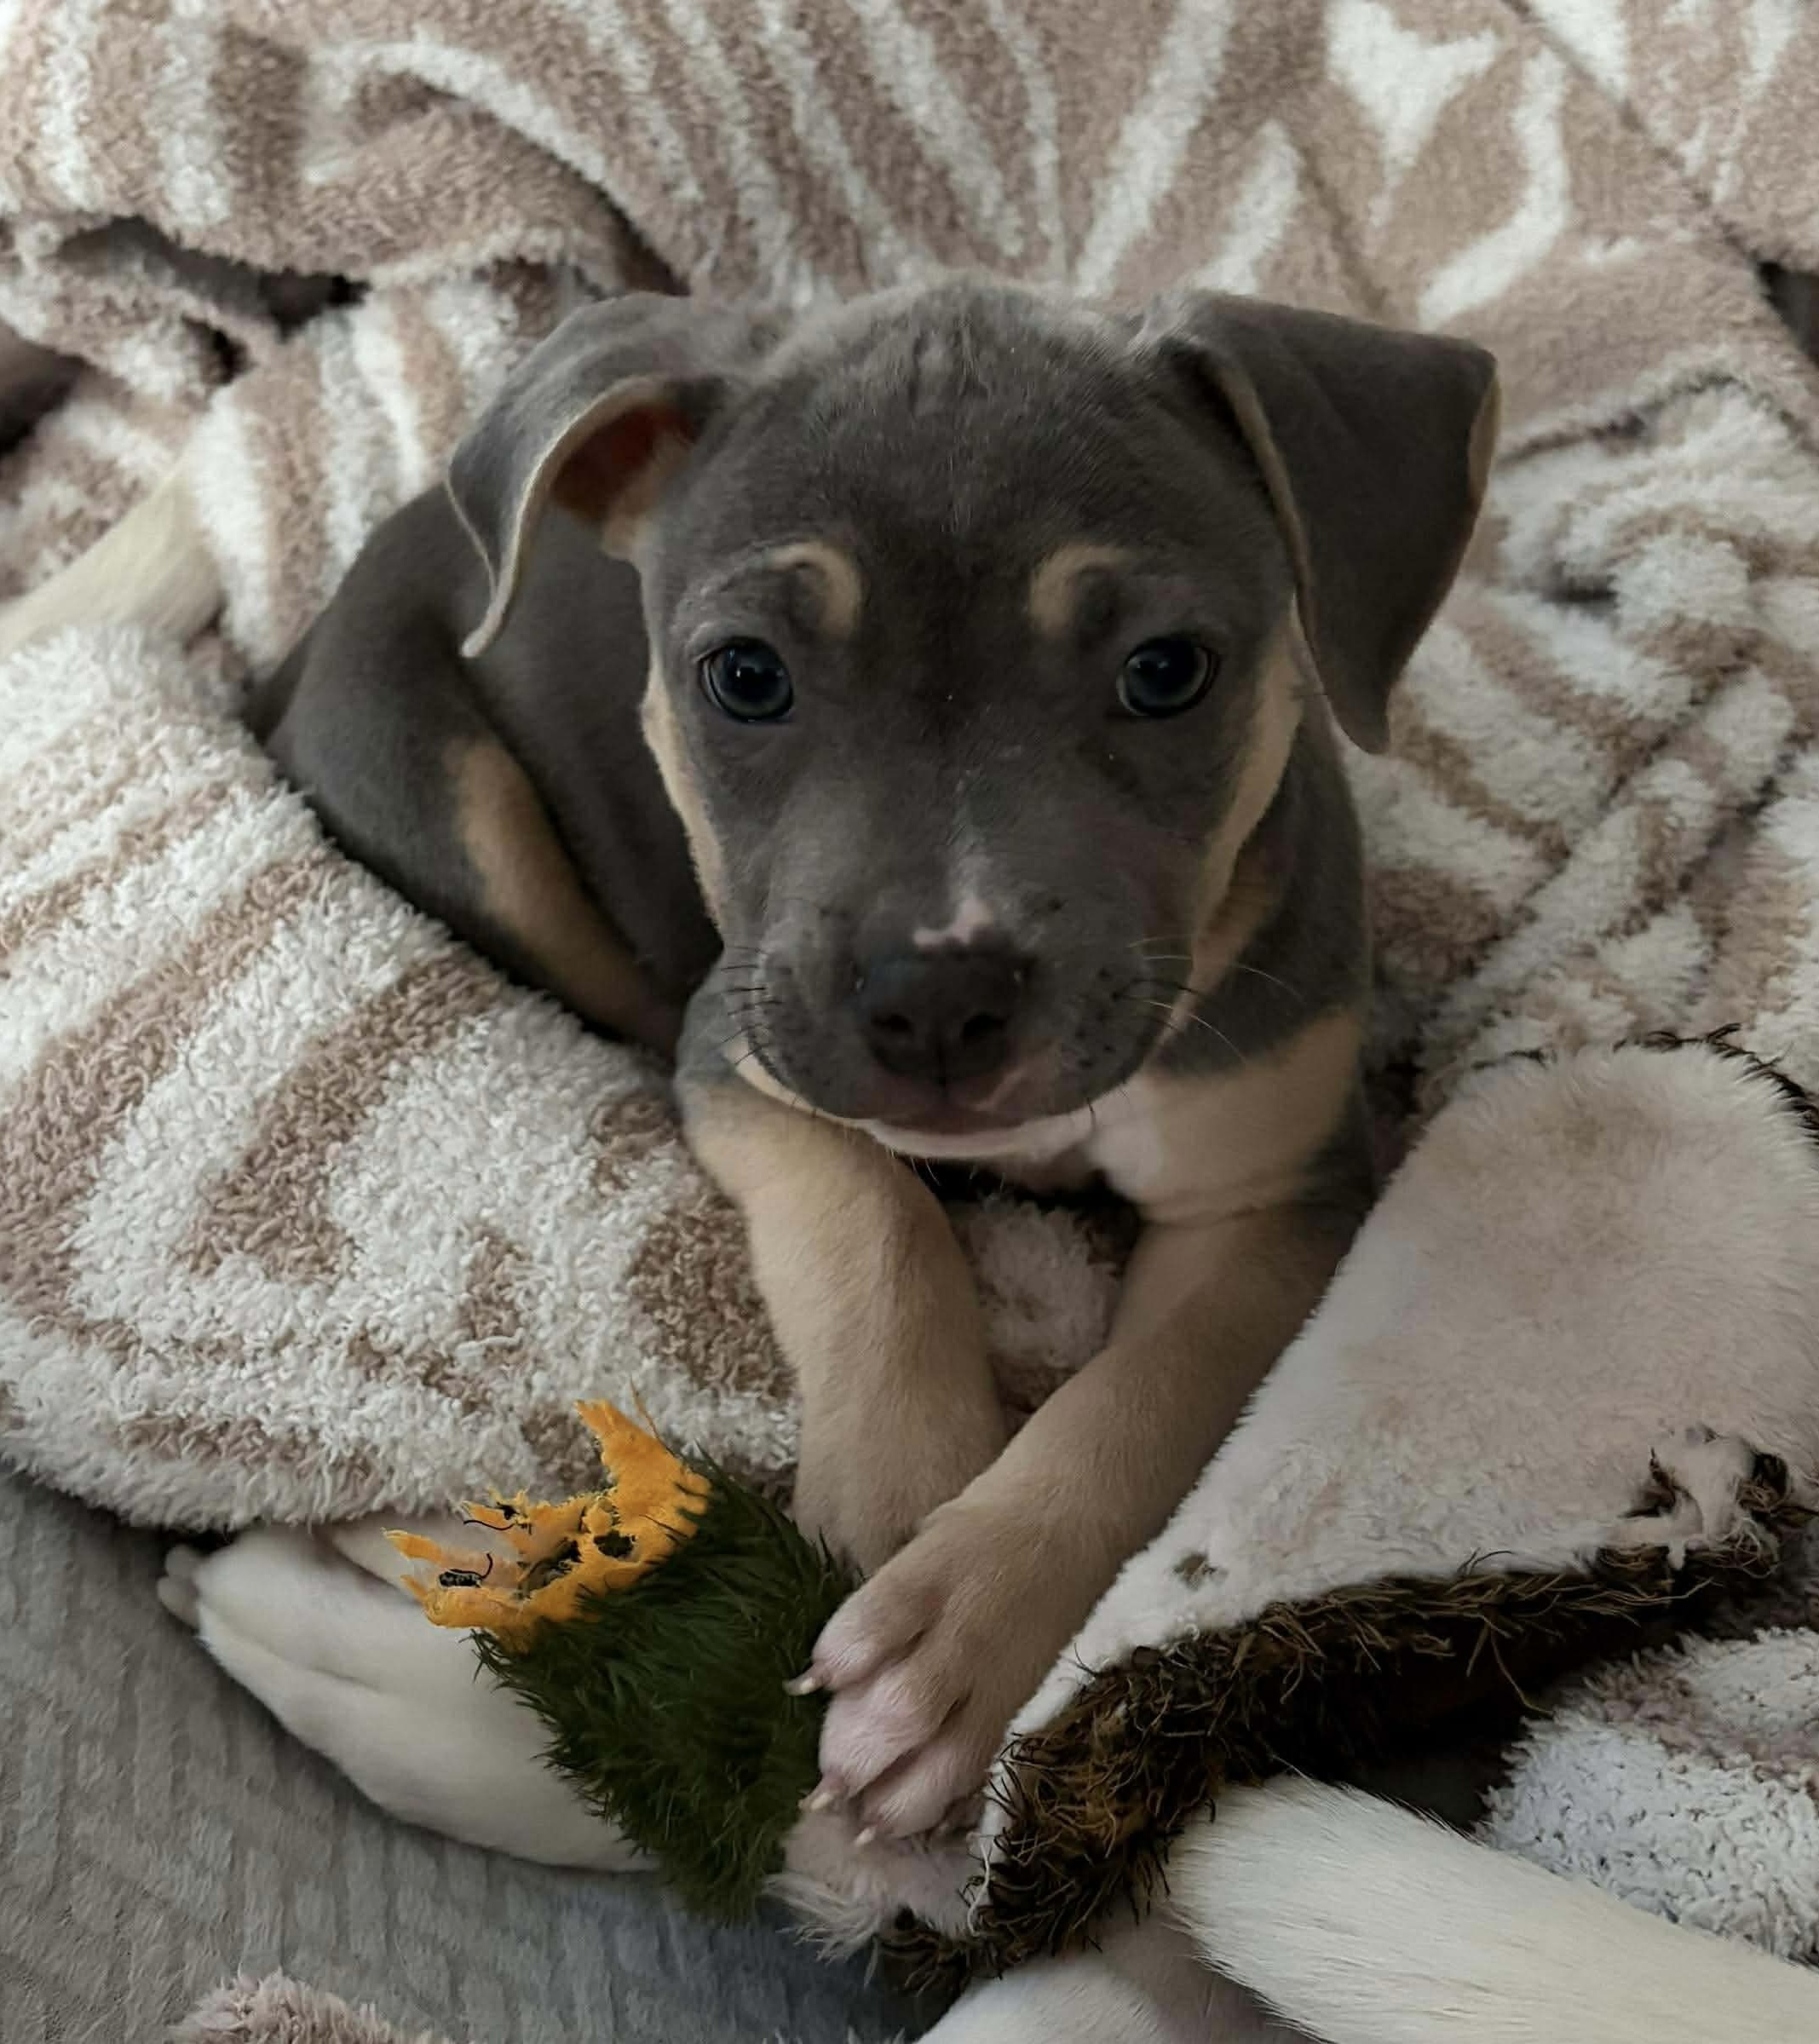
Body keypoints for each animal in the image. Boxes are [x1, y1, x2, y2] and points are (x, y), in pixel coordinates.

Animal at [196, 277, 1497, 1842]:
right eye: (744, 676)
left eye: (1167, 671)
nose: (933, 998)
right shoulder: (748, 1048)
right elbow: (872, 1219)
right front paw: (897, 1498)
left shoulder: (1271, 1195)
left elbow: (1141, 1395)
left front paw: (962, 1624)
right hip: (450, 792)